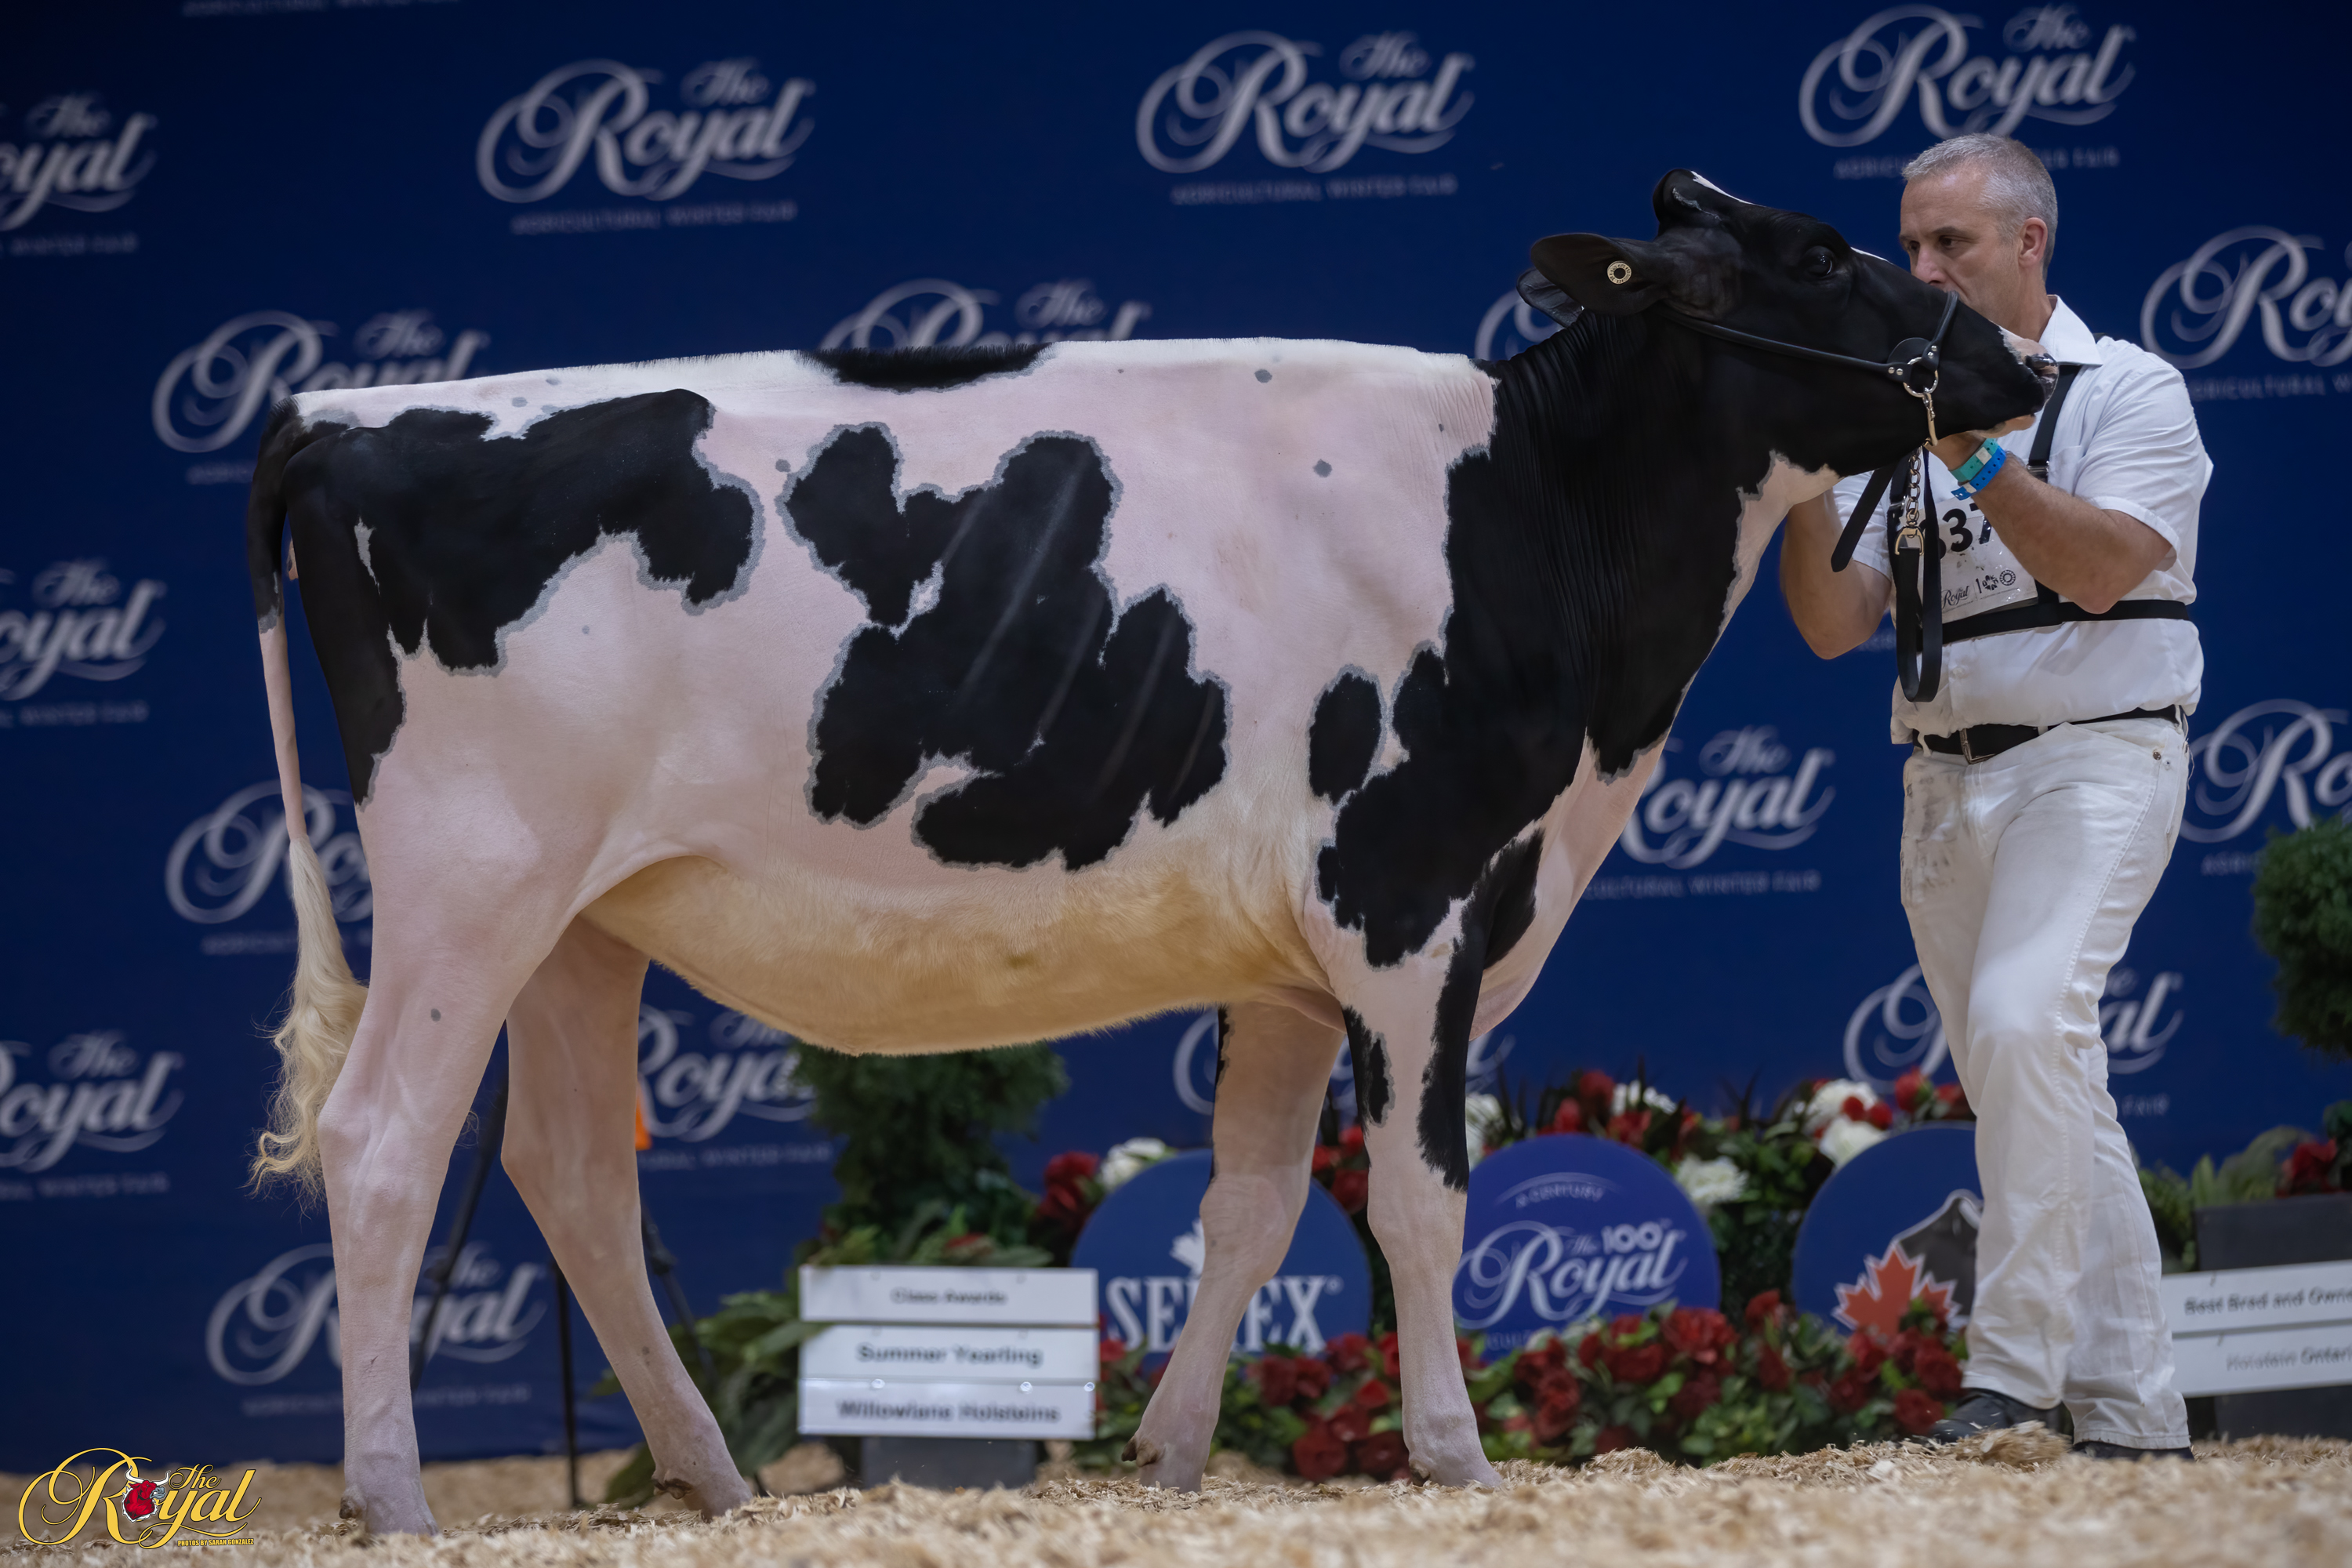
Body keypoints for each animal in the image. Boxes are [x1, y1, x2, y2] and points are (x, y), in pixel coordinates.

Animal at [239, 172, 2047, 1534]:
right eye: (1818, 255)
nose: (2020, 365)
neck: (1536, 512)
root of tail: (340, 414)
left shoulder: (1301, 965)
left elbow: (1253, 1206)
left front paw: (1169, 1455)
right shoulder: (1412, 897)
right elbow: (1419, 1198)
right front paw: (1457, 1455)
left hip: (582, 920)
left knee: (573, 1176)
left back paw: (710, 1475)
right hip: (471, 878)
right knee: (385, 1142)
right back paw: (393, 1495)